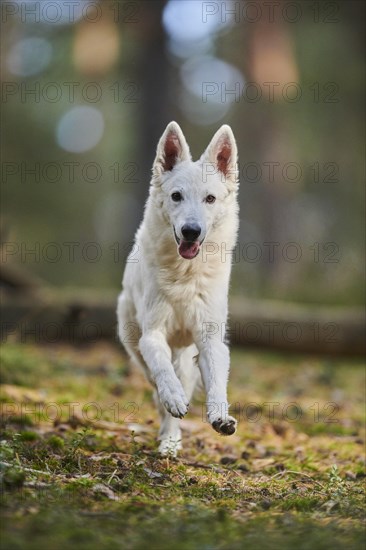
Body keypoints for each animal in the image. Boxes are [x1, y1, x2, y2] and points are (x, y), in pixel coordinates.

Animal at [116, 122, 239, 458]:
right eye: (176, 196)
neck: (186, 276)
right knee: (158, 389)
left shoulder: (210, 339)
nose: (191, 231)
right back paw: (169, 437)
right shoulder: (153, 335)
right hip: (138, 347)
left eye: (210, 198)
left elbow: (217, 383)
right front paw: (174, 396)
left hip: (187, 355)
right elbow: (163, 373)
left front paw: (220, 415)